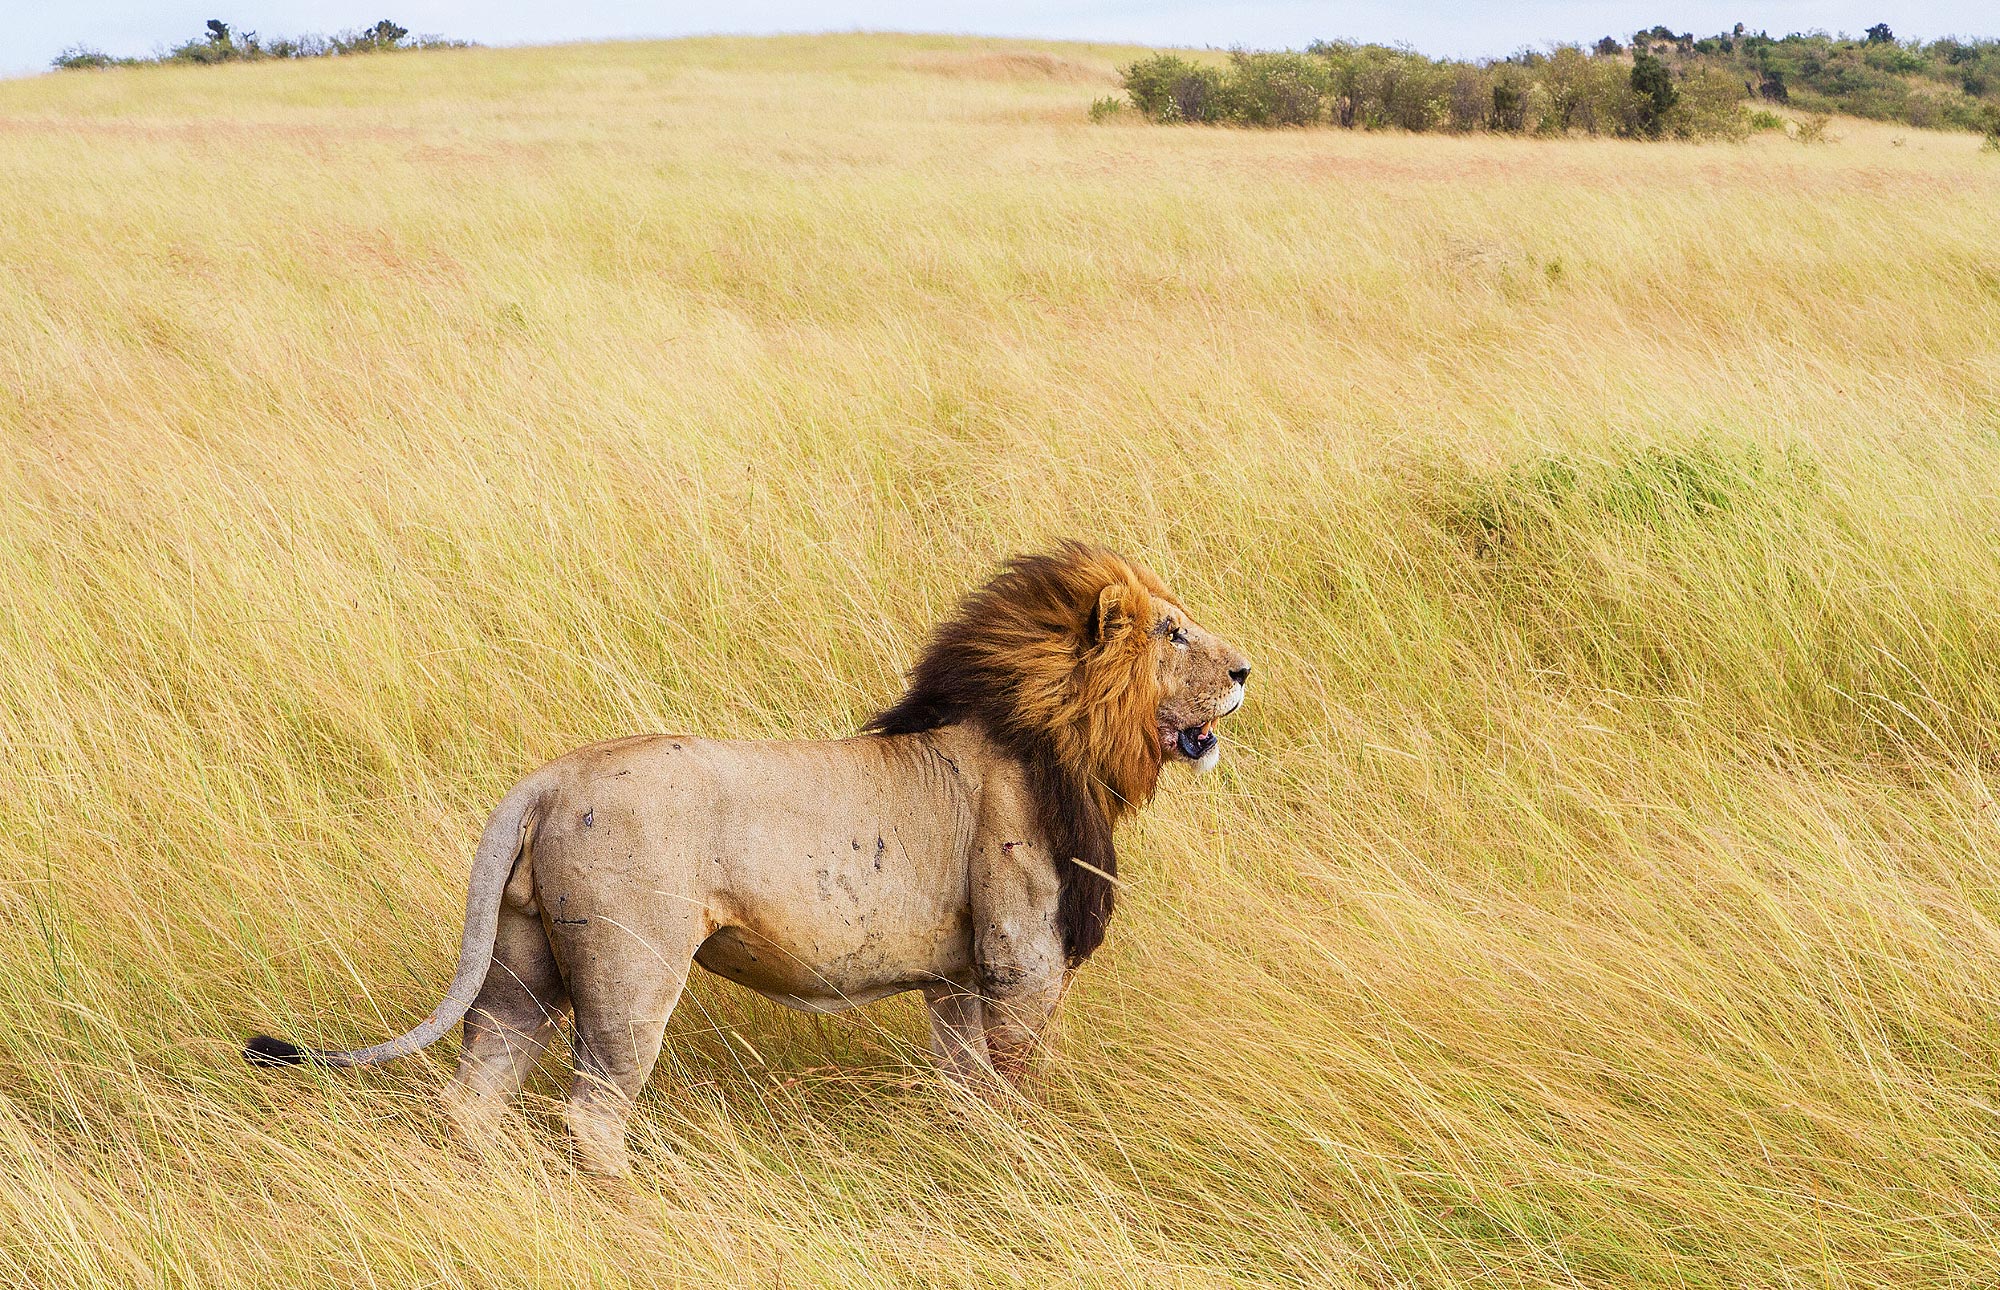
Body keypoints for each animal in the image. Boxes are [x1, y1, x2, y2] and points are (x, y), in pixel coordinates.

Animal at [244, 542, 1251, 1176]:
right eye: (1172, 633)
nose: (1245, 671)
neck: (1060, 738)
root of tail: (547, 780)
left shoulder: (958, 980)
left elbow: (965, 1090)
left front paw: (970, 1157)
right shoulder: (1019, 962)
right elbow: (1012, 1086)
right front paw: (1022, 1165)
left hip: (521, 964)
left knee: (475, 1094)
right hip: (632, 969)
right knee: (592, 1109)